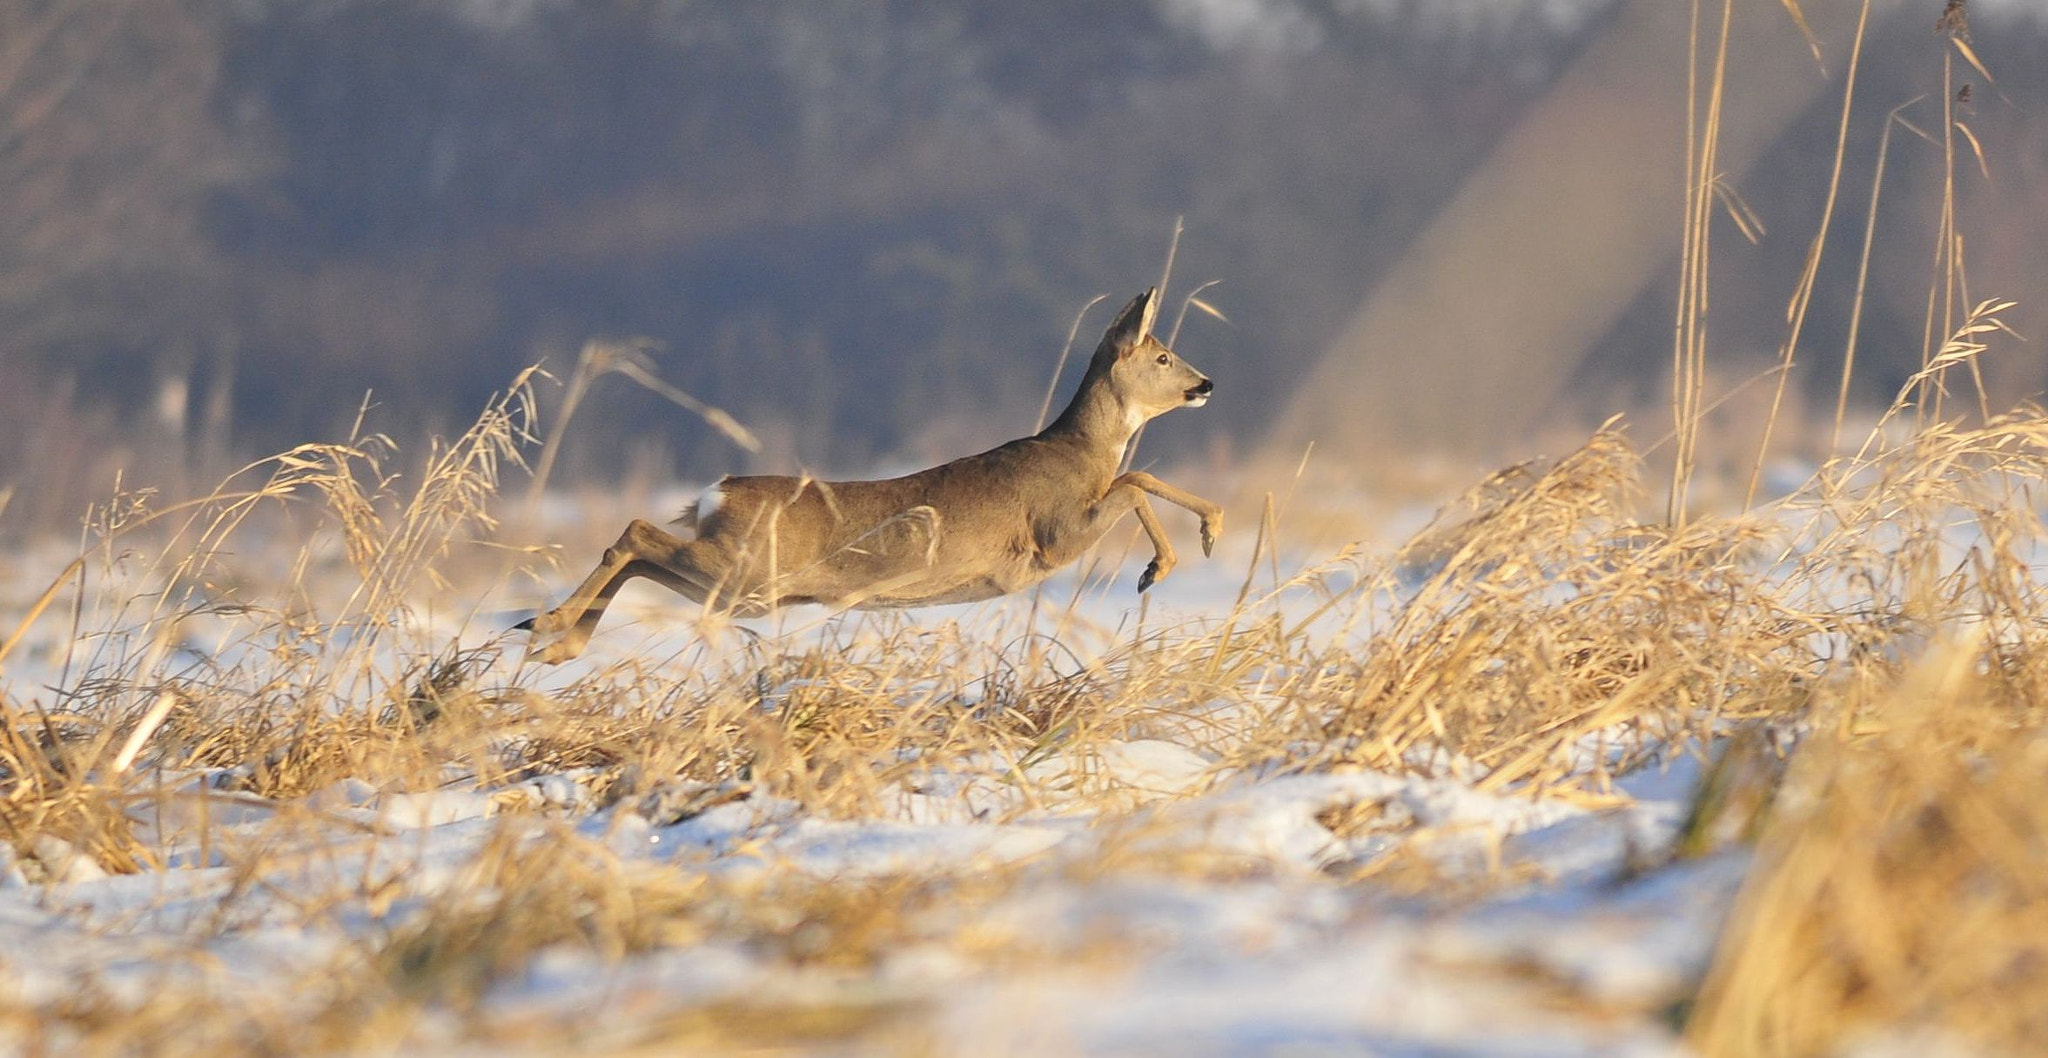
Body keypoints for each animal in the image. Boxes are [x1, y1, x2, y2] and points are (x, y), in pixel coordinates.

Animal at [516, 286, 1212, 658]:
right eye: (1163, 355)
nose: (1206, 384)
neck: (1078, 451)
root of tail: (716, 494)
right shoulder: (1055, 533)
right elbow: (1134, 483)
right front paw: (1174, 557)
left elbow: (1135, 481)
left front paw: (1184, 547)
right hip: (745, 571)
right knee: (633, 534)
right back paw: (547, 627)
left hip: (741, 588)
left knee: (640, 556)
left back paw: (554, 640)